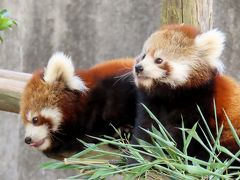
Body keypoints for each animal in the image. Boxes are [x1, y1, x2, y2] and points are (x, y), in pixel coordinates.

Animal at [131, 23, 240, 162]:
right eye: (144, 56)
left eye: (159, 60)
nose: (138, 68)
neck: (170, 96)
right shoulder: (150, 105)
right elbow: (145, 132)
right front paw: (138, 159)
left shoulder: (199, 106)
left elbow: (186, 139)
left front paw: (174, 159)